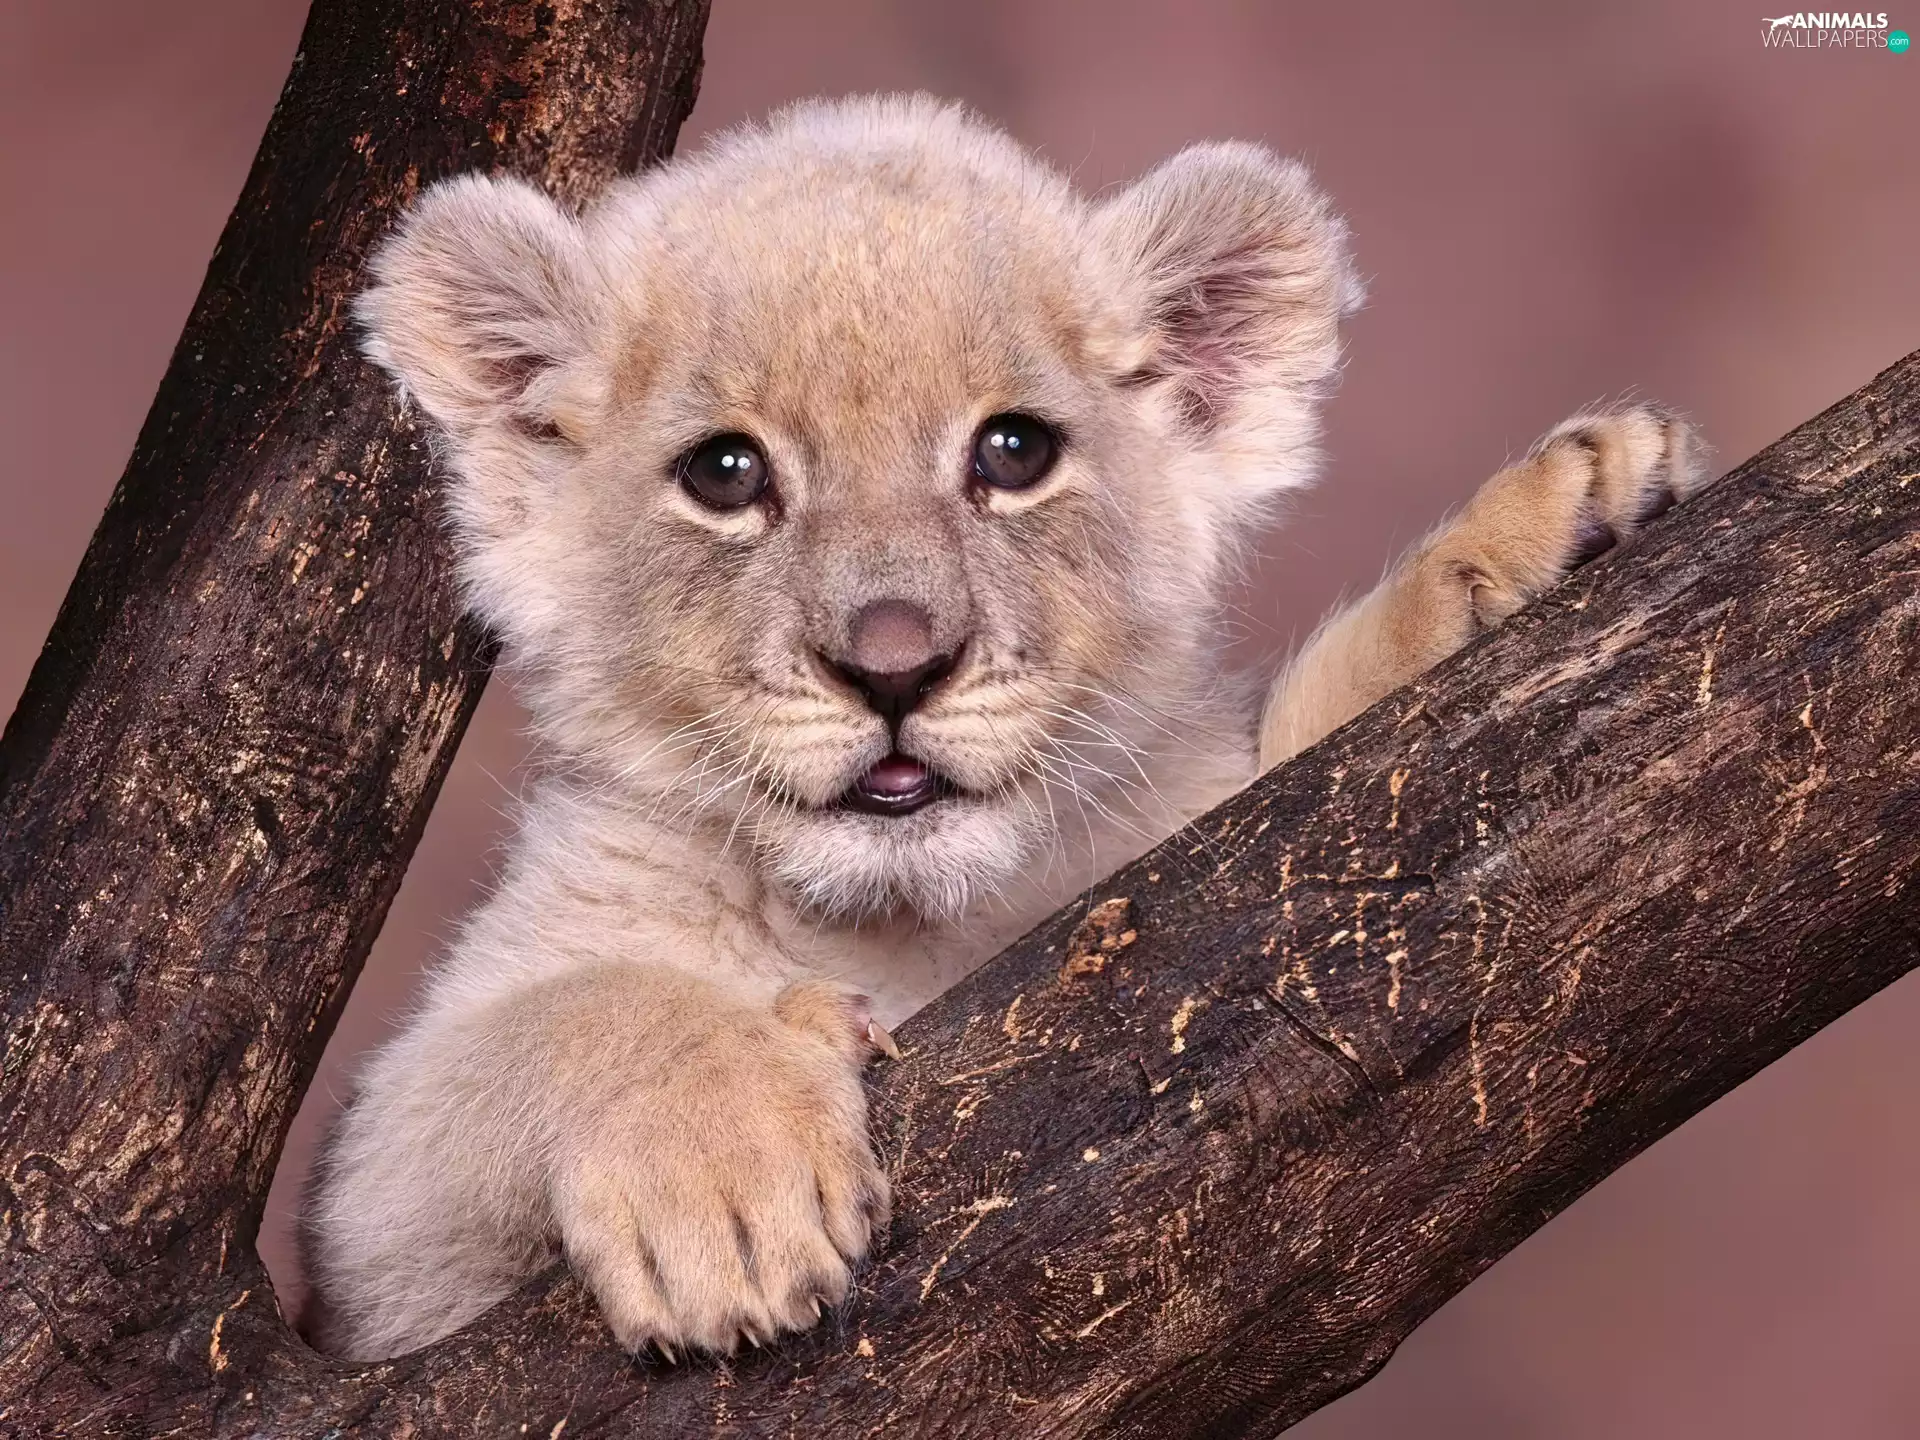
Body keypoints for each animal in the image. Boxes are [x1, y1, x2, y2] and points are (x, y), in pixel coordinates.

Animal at [302, 94, 1707, 1360]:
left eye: (1014, 452)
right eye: (726, 474)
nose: (894, 666)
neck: (913, 923)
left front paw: (1538, 534)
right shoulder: (381, 1251)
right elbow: (578, 1014)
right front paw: (731, 1187)